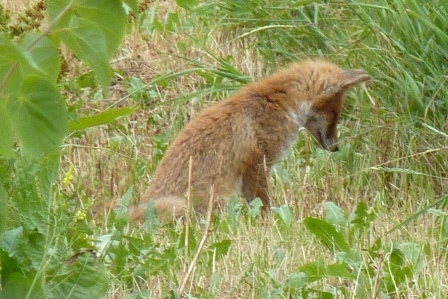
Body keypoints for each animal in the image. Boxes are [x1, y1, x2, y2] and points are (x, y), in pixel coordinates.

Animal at [130, 59, 372, 221]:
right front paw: (269, 223)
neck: (278, 104)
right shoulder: (258, 165)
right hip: (197, 205)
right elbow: (263, 203)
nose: (335, 148)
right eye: (335, 115)